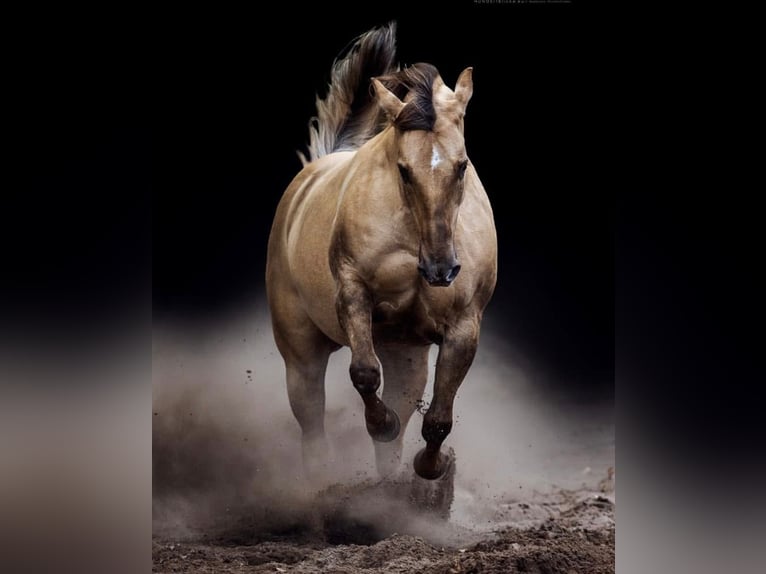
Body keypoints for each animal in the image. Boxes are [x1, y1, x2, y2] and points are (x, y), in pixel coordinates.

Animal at [266, 22, 497, 481]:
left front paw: (431, 468)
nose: (441, 270)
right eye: (403, 171)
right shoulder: (354, 295)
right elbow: (364, 374)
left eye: (462, 165)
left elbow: (436, 418)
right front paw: (382, 424)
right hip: (300, 349)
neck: (415, 241)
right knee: (311, 420)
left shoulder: (464, 327)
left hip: (405, 351)